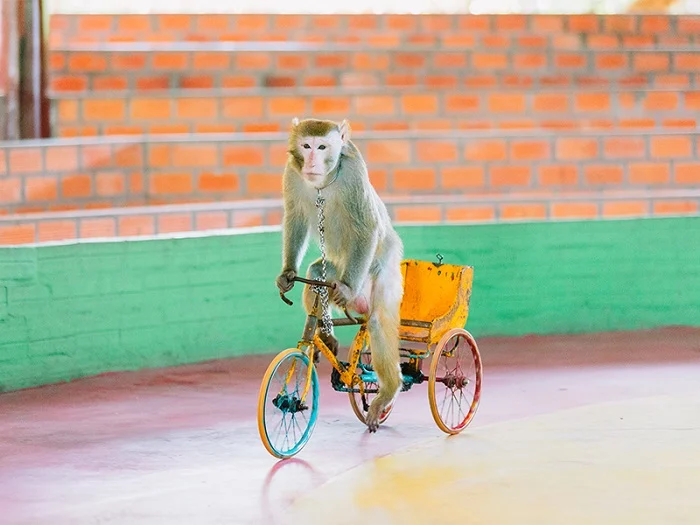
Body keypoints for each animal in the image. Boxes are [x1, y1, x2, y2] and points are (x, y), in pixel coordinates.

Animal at [274, 117, 402, 430]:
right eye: (306, 146)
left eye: (322, 147)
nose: (311, 161)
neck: (323, 182)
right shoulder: (291, 173)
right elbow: (295, 217)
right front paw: (287, 273)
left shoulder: (355, 174)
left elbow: (366, 226)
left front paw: (344, 290)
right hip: (335, 269)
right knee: (316, 273)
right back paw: (325, 333)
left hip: (381, 270)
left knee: (377, 321)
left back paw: (387, 392)